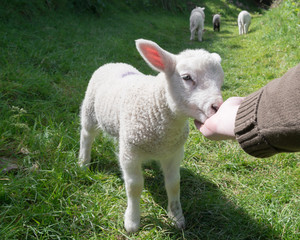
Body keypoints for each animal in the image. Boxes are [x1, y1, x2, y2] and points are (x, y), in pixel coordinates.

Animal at [78, 39, 224, 232]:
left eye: (221, 81)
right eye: (187, 77)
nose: (217, 107)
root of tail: (113, 63)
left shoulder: (174, 152)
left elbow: (173, 184)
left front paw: (176, 217)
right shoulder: (131, 153)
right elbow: (134, 186)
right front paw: (132, 221)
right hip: (89, 110)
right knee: (86, 135)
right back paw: (83, 162)